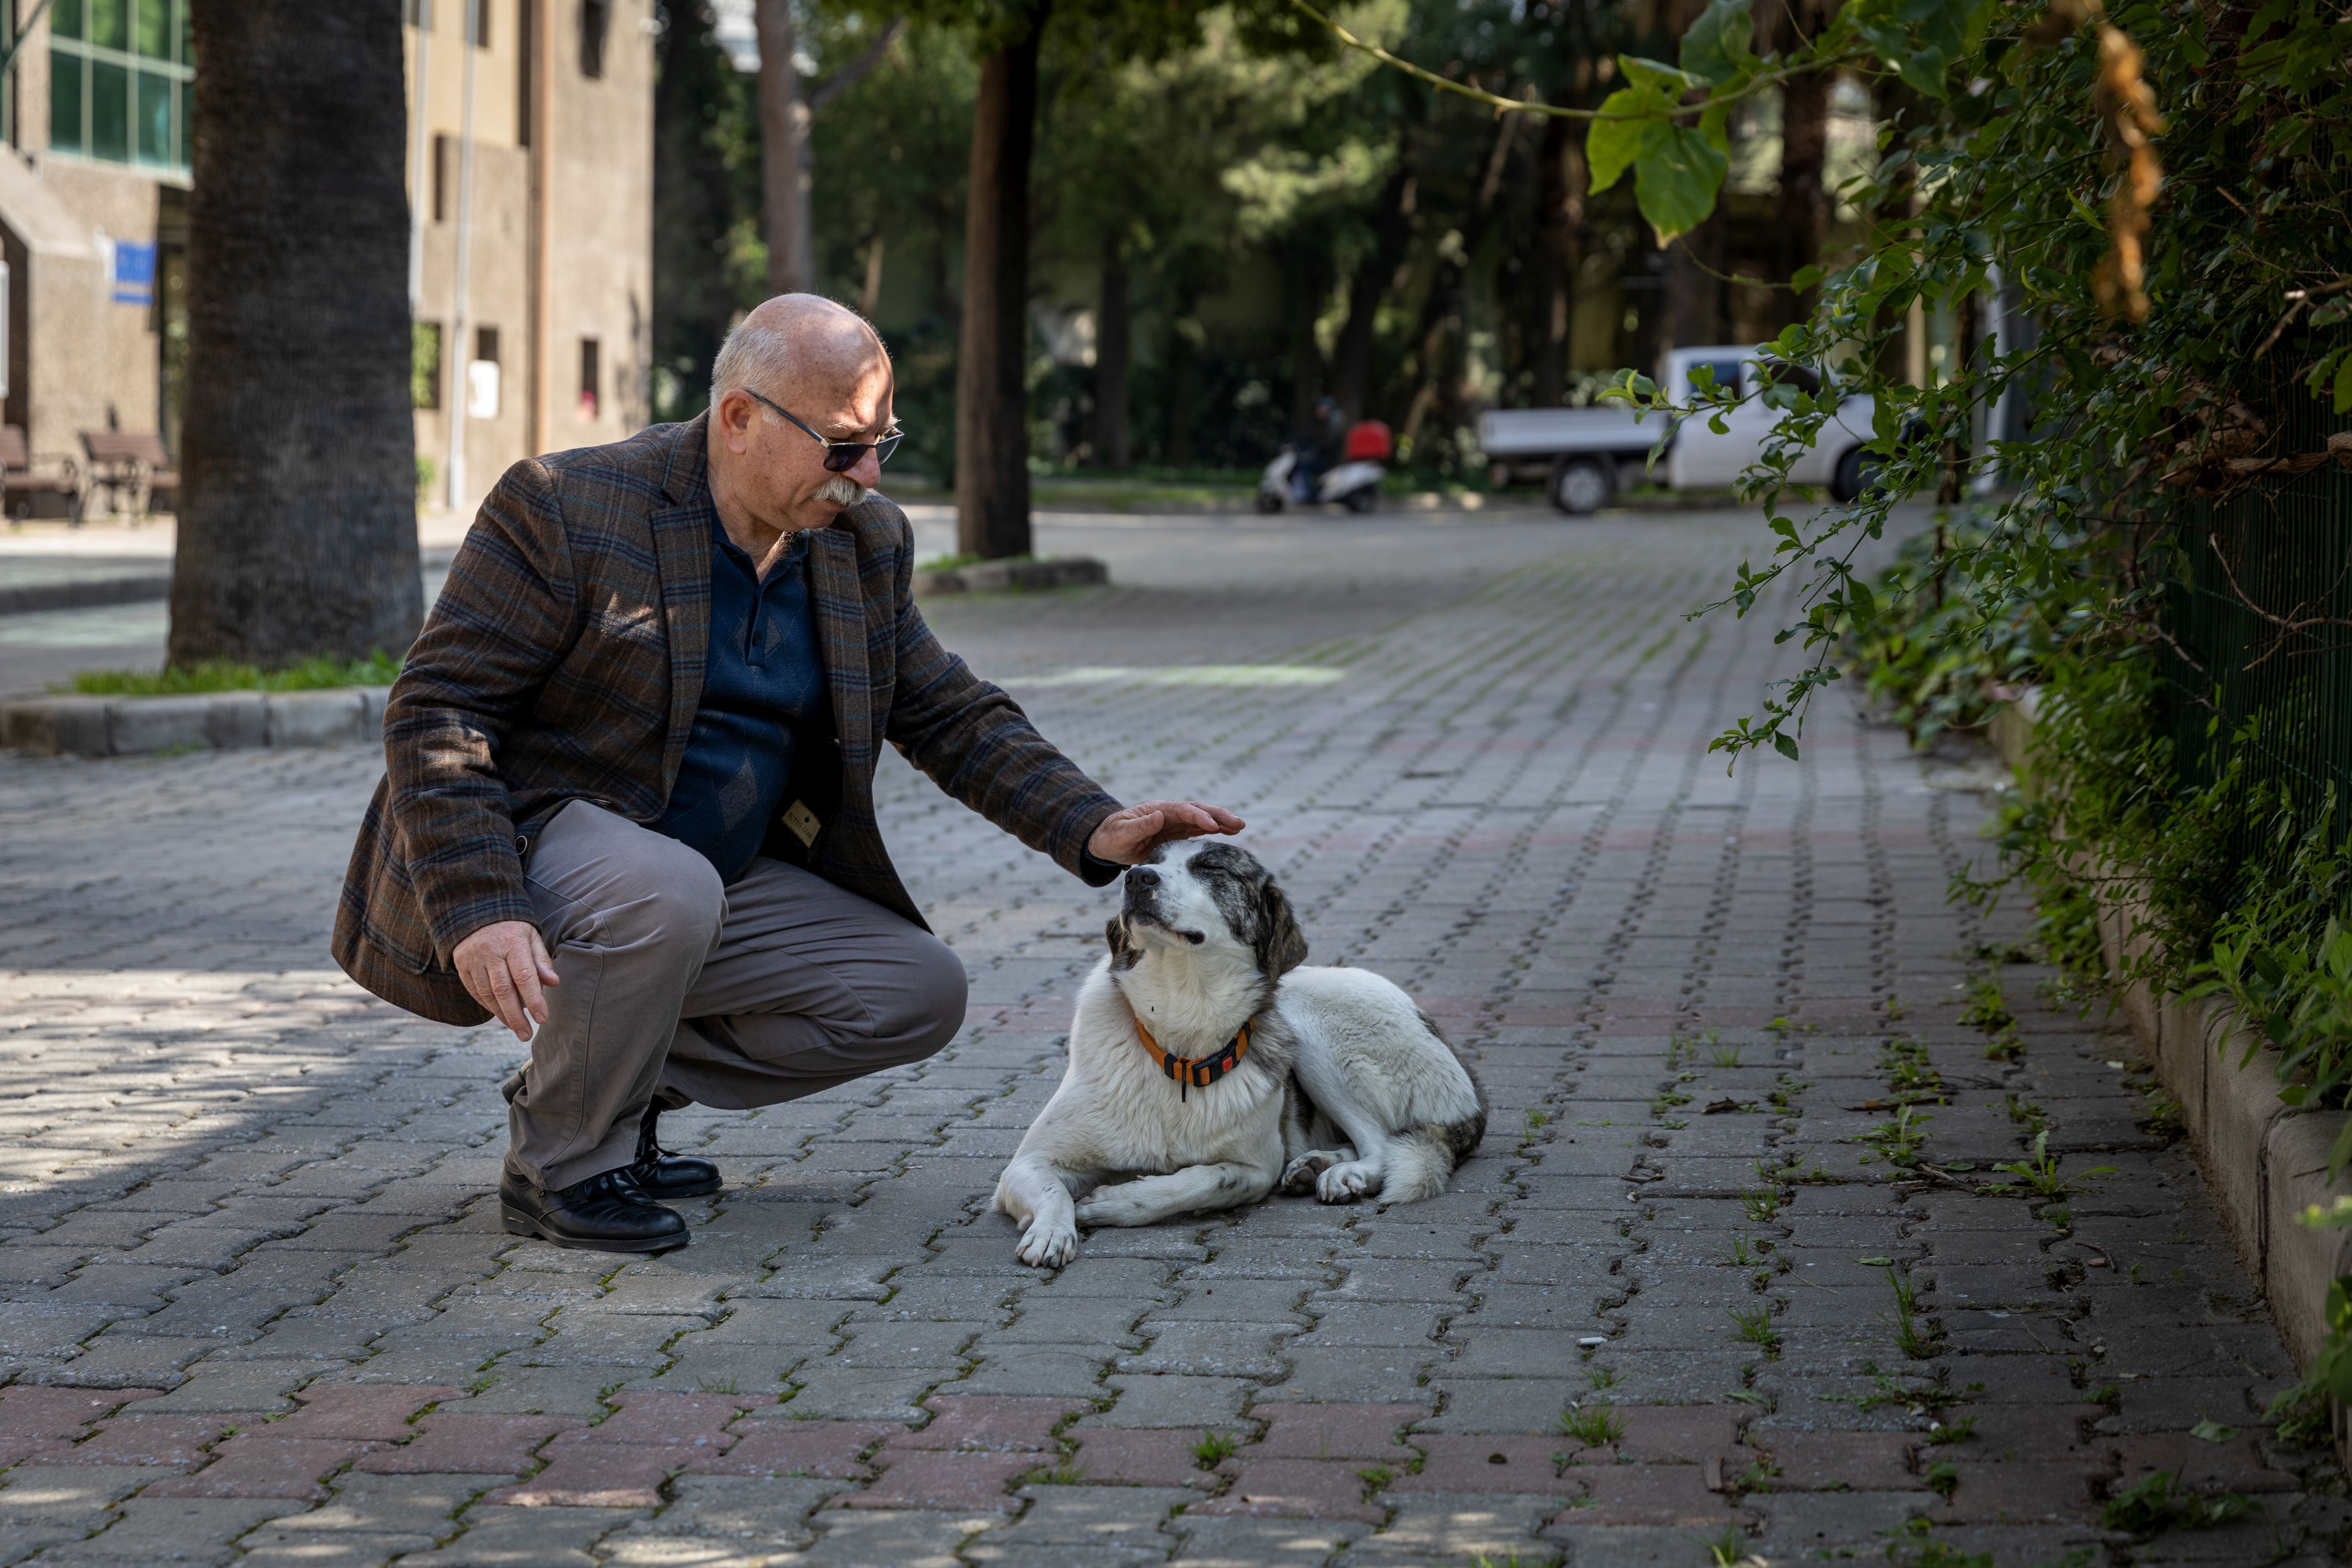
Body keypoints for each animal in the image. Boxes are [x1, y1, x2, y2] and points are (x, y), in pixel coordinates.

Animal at [997, 842, 1486, 1269]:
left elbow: (1205, 1179)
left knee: (1381, 1146)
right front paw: (1051, 1233)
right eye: (1148, 859)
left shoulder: (1256, 1169)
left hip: (1307, 1020)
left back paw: (1345, 1175)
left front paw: (1118, 1201)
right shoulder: (1026, 1164)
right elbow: (1053, 1190)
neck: (1180, 1041)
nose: (1136, 878)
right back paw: (1315, 1164)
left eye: (1211, 867)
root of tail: (1474, 1094)